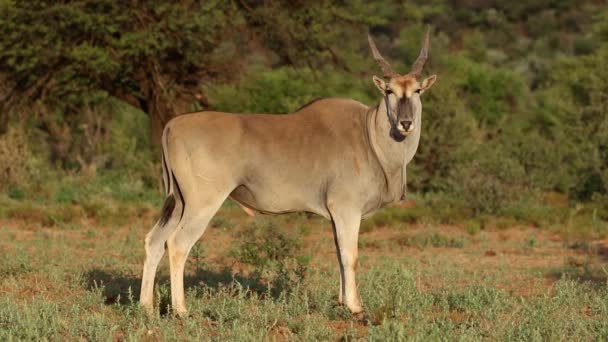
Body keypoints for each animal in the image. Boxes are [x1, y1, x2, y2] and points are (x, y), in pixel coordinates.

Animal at [140, 29, 436, 318]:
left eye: (418, 90)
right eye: (389, 91)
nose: (405, 123)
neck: (369, 134)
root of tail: (172, 126)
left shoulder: (336, 215)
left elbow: (339, 253)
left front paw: (342, 302)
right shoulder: (347, 209)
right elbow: (349, 255)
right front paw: (355, 307)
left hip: (179, 203)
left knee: (155, 241)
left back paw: (146, 307)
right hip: (202, 204)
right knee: (177, 244)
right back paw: (181, 310)